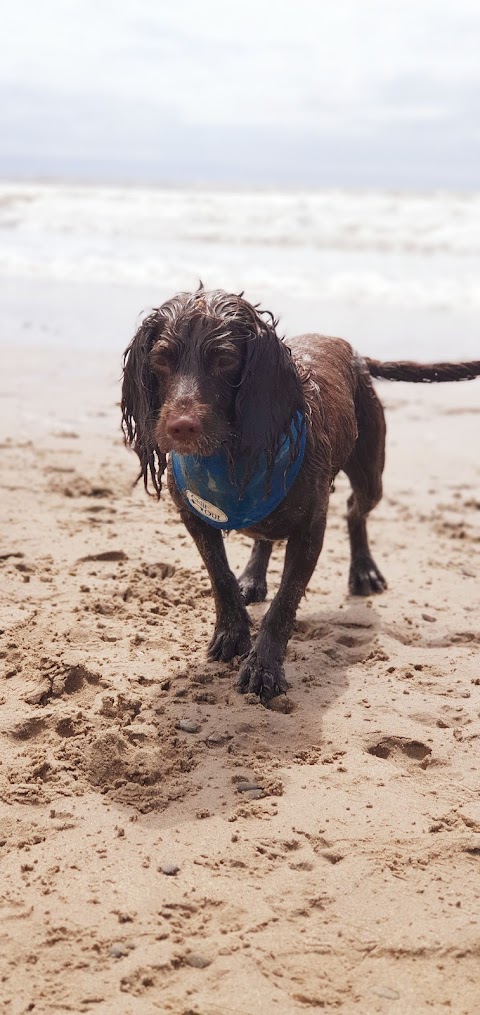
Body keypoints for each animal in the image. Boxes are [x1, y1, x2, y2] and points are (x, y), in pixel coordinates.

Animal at [120, 282, 478, 702]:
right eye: (161, 360)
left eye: (224, 360)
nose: (180, 427)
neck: (233, 456)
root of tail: (354, 353)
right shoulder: (194, 515)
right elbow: (220, 576)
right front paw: (232, 633)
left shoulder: (310, 529)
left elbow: (284, 602)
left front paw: (263, 667)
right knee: (266, 534)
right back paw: (253, 578)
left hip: (371, 475)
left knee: (354, 510)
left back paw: (363, 570)